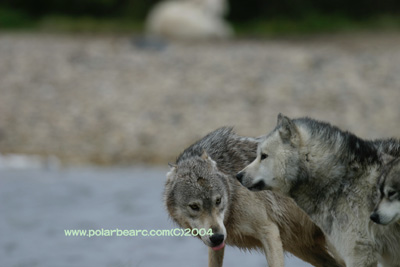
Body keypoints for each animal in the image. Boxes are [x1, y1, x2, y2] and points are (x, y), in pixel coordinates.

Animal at [164, 127, 342, 267]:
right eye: (194, 207)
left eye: (218, 201)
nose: (217, 237)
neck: (234, 192)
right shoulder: (216, 246)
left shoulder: (269, 231)